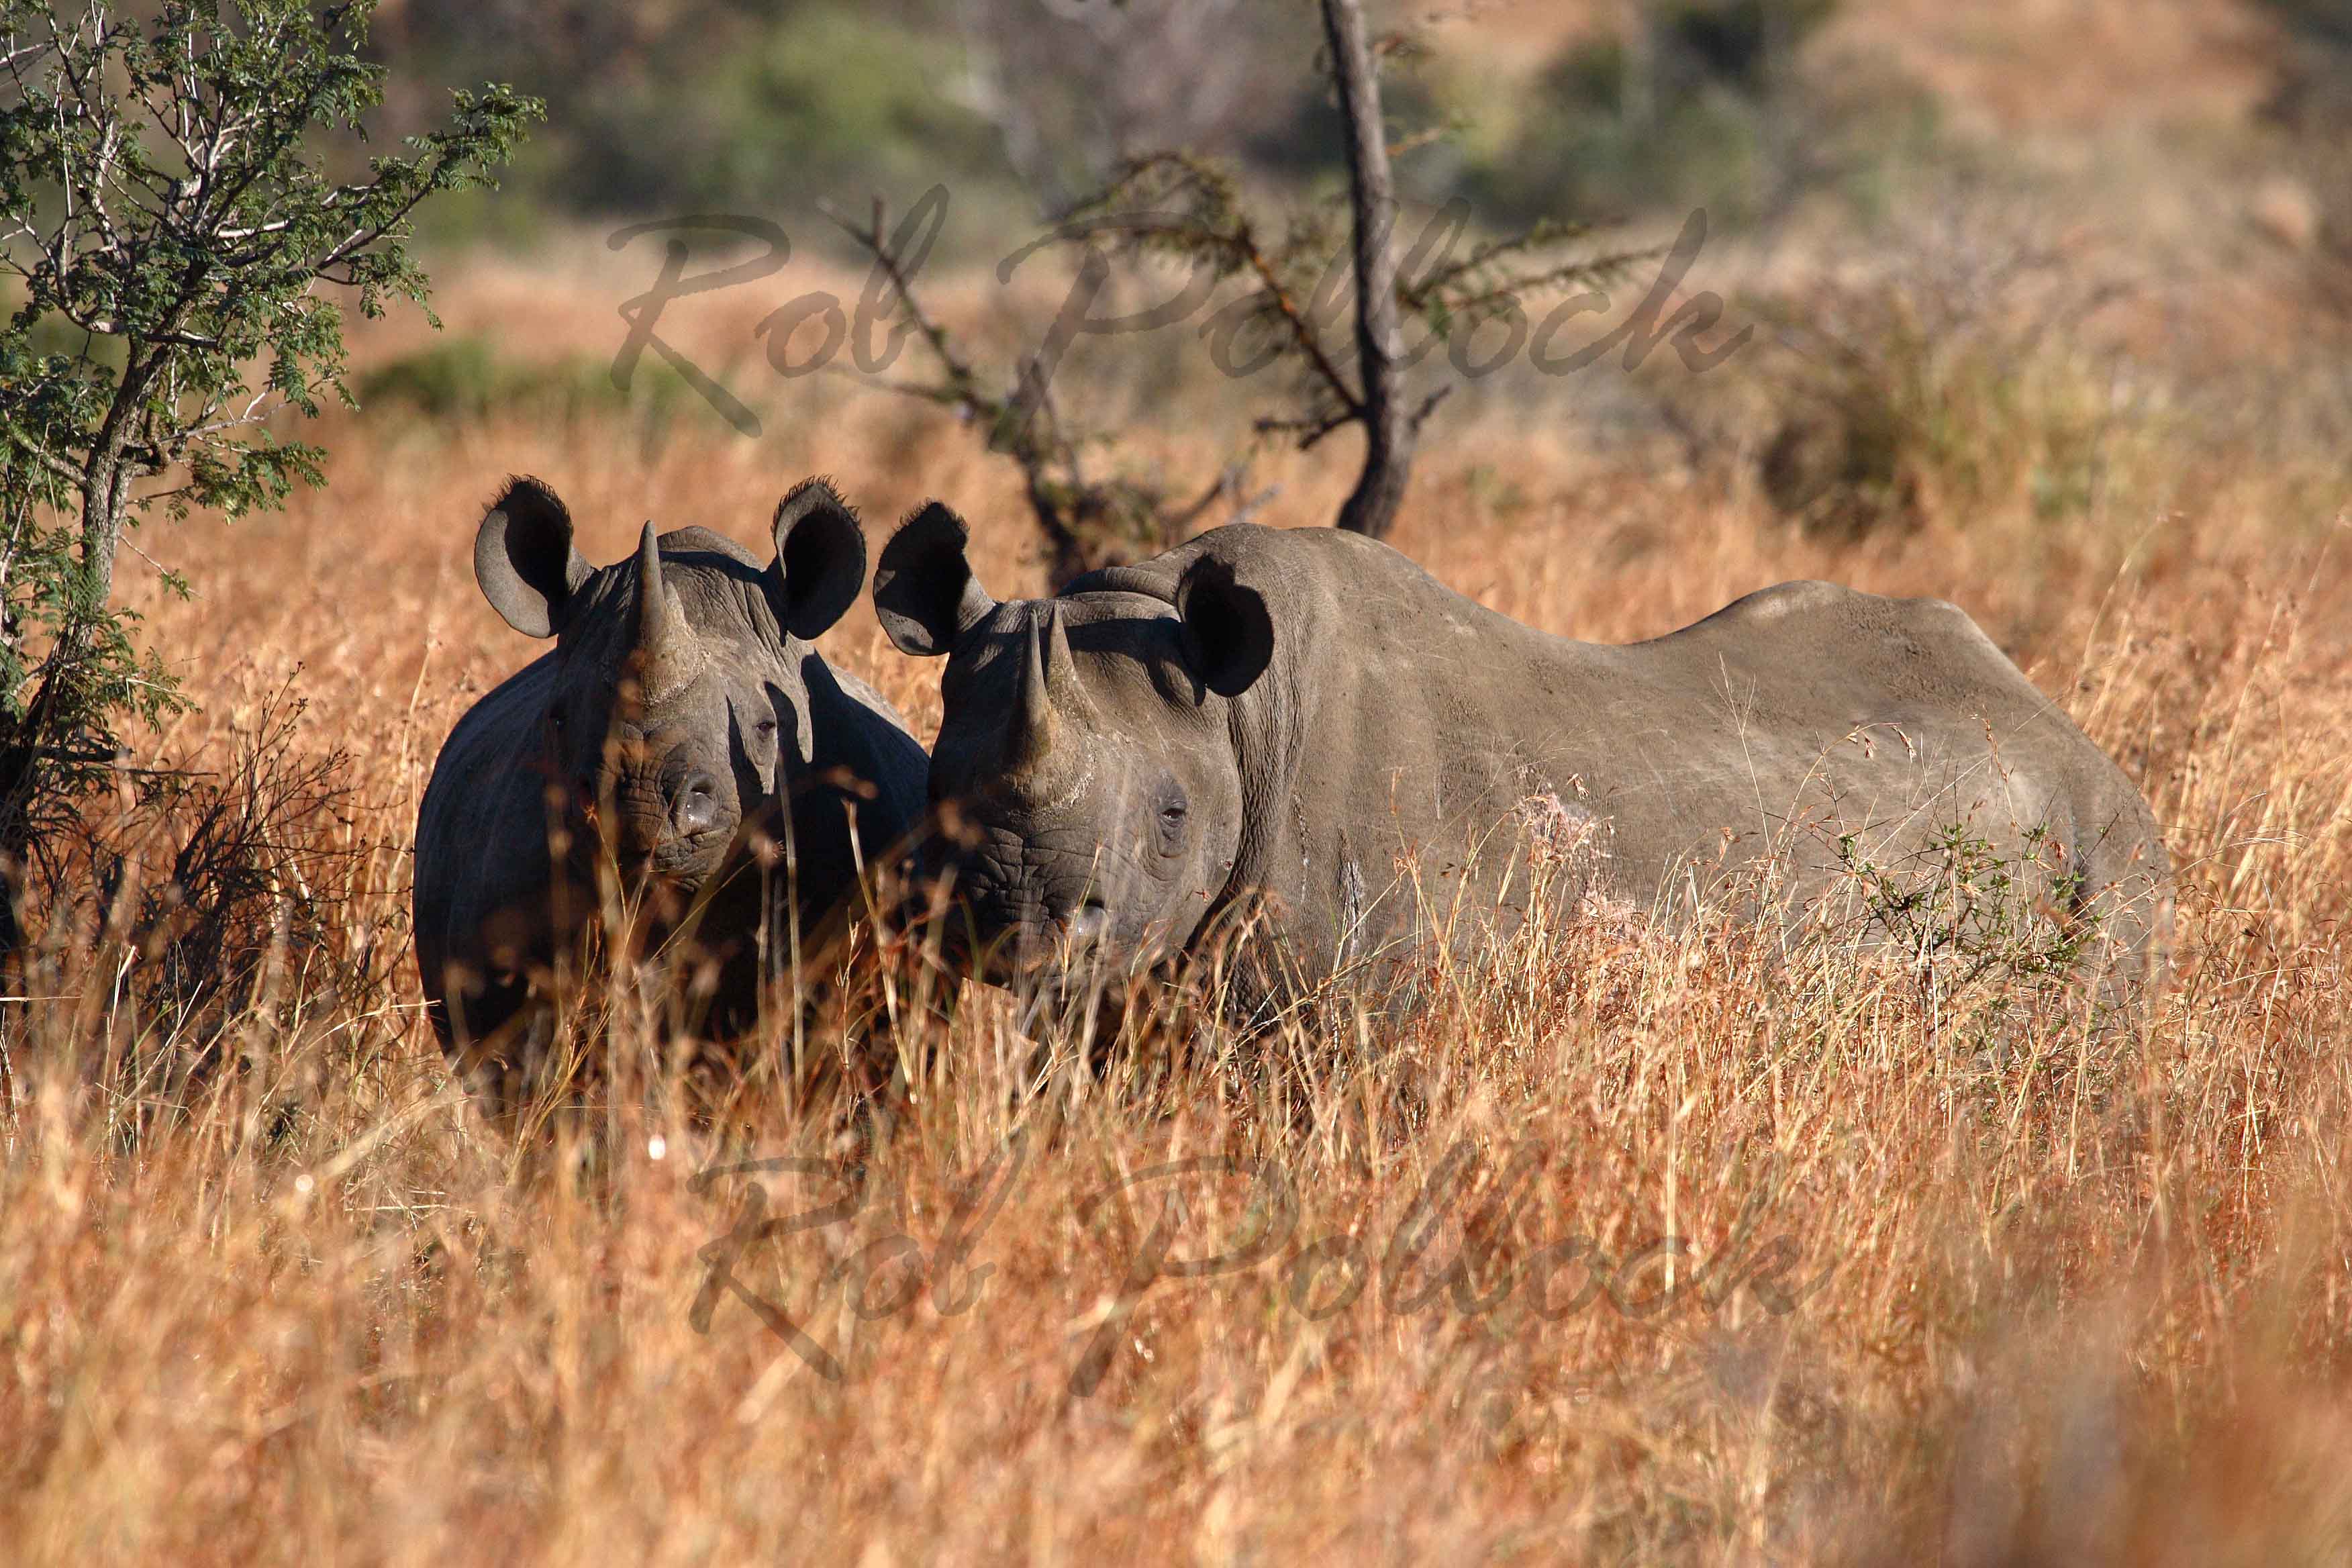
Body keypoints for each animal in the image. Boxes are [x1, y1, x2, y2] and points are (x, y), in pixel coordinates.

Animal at [873, 509, 2170, 1016]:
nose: (1019, 925)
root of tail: (2064, 724)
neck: (1243, 718)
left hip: (2106, 856)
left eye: (1174, 816)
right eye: (934, 795)